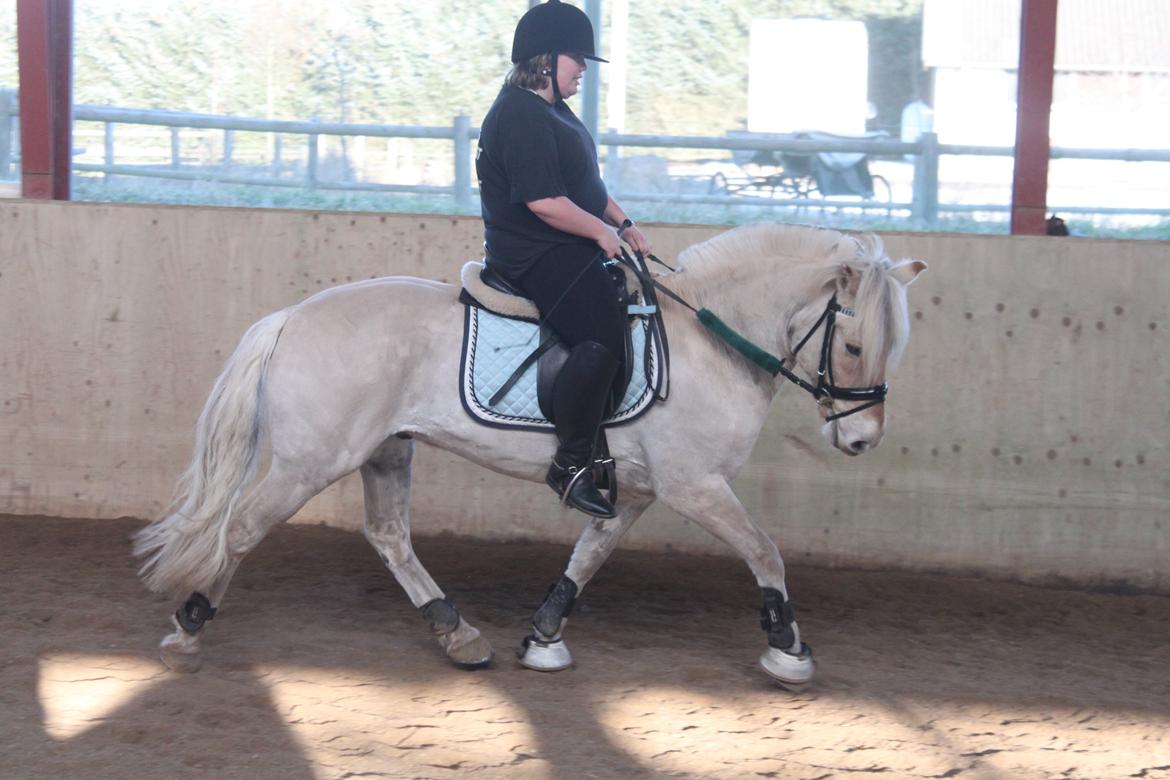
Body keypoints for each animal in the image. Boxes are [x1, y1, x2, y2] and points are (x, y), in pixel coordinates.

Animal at [132, 221, 926, 687]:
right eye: (854, 345)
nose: (860, 439)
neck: (714, 341)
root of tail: (291, 316)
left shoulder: (634, 490)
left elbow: (588, 556)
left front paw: (543, 636)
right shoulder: (694, 484)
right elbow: (765, 550)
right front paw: (788, 646)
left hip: (386, 449)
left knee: (389, 536)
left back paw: (457, 633)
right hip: (312, 460)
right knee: (241, 530)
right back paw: (188, 629)